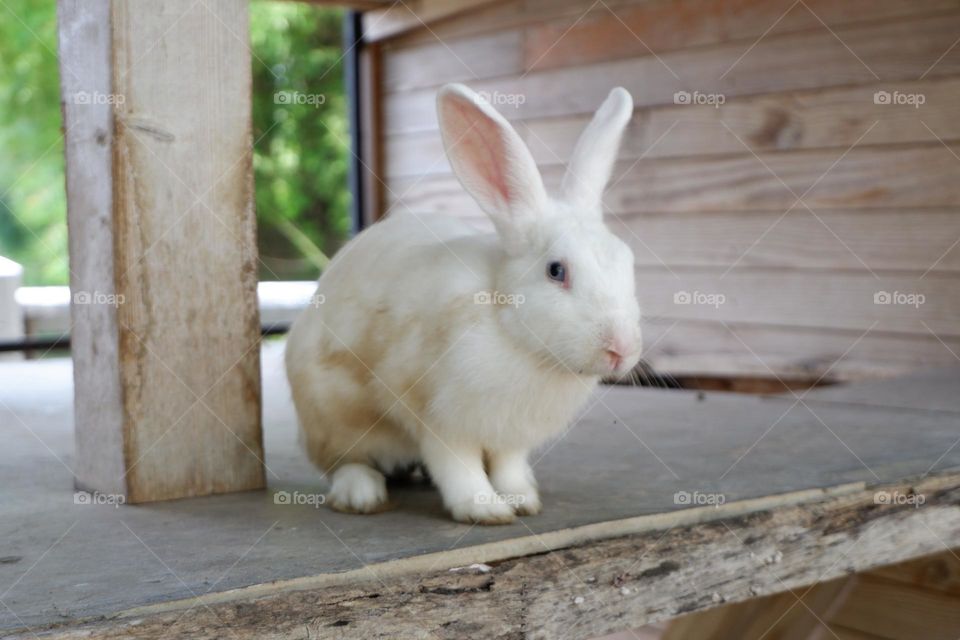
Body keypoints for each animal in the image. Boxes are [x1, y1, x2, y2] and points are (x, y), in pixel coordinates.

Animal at [285, 83, 642, 525]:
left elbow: (508, 466)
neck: (514, 335)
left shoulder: (511, 435)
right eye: (556, 271)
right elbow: (458, 466)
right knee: (344, 462)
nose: (621, 349)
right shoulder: (437, 417)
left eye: (628, 262)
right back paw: (362, 496)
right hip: (332, 416)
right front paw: (484, 509)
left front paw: (522, 500)